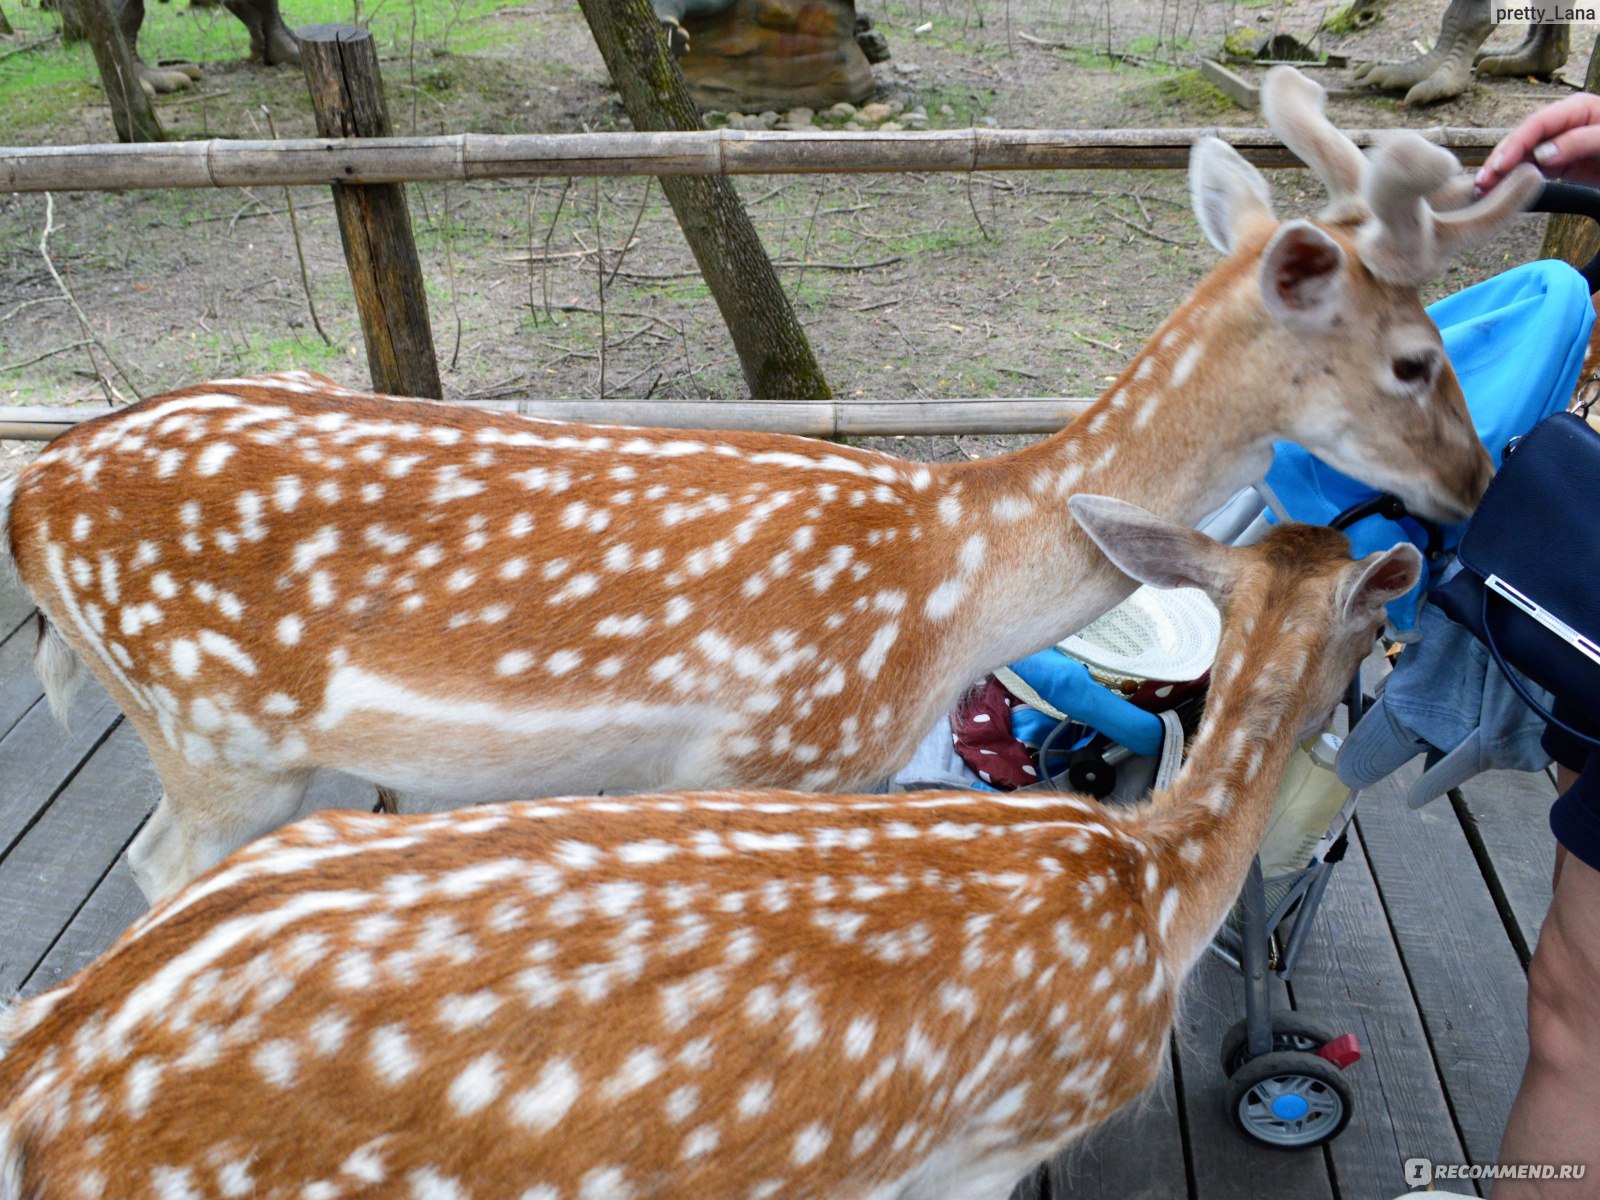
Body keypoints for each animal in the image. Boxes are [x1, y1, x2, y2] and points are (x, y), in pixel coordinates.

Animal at [0, 65, 1536, 902]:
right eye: (1414, 358)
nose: (1477, 480)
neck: (952, 588)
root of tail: (33, 496)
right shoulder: (772, 751)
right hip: (216, 734)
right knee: (152, 872)